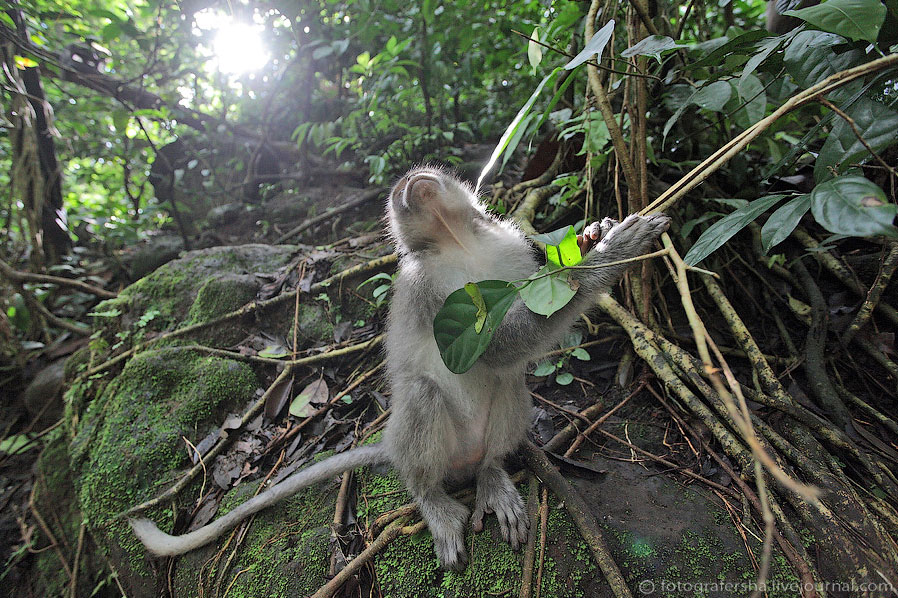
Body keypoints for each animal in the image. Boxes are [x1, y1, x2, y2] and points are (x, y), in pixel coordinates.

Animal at [130, 164, 668, 572]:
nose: (414, 181)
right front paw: (608, 257)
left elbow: (514, 343)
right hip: (427, 450)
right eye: (400, 189)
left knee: (507, 385)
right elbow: (485, 348)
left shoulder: (511, 245)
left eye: (424, 174)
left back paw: (491, 472)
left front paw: (594, 234)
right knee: (426, 396)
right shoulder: (424, 282)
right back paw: (432, 498)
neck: (459, 242)